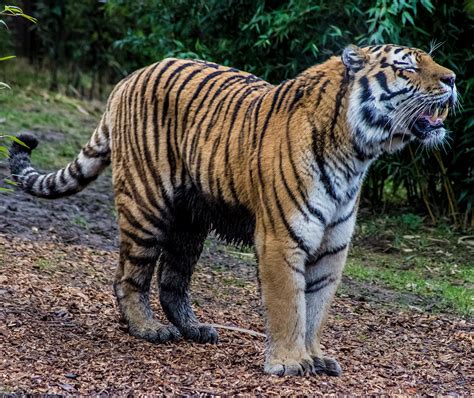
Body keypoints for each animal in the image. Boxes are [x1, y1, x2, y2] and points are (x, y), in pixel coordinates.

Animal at [9, 44, 458, 376]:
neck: (356, 154)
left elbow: (315, 308)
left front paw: (315, 357)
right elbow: (289, 306)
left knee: (172, 281)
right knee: (128, 277)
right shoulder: (281, 240)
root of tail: (128, 78)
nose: (453, 79)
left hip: (189, 223)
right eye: (407, 67)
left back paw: (195, 329)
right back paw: (147, 329)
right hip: (146, 207)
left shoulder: (332, 248)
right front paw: (288, 363)